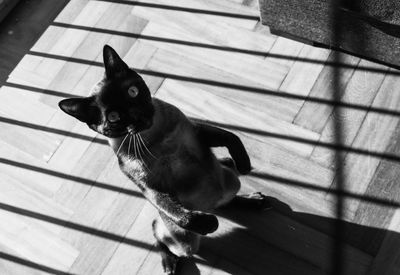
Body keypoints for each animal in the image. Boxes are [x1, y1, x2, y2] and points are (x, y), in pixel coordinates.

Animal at [58, 45, 268, 275]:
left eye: (132, 91)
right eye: (113, 117)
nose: (138, 115)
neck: (156, 136)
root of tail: (210, 206)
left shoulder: (197, 133)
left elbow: (231, 137)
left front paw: (244, 163)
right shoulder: (150, 187)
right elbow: (177, 212)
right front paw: (210, 225)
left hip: (231, 182)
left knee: (225, 201)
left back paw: (251, 197)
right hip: (185, 243)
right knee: (159, 231)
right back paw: (171, 263)